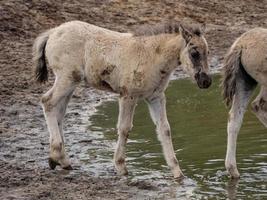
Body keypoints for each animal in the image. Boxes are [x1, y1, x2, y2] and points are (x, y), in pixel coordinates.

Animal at [33, 21, 213, 179]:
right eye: (194, 53)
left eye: (208, 52)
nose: (206, 82)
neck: (152, 55)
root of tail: (53, 32)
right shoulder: (128, 96)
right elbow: (125, 128)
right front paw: (121, 167)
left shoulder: (156, 97)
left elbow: (165, 130)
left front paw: (178, 174)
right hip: (67, 78)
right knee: (47, 101)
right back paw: (55, 155)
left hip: (71, 83)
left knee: (59, 112)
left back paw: (62, 160)